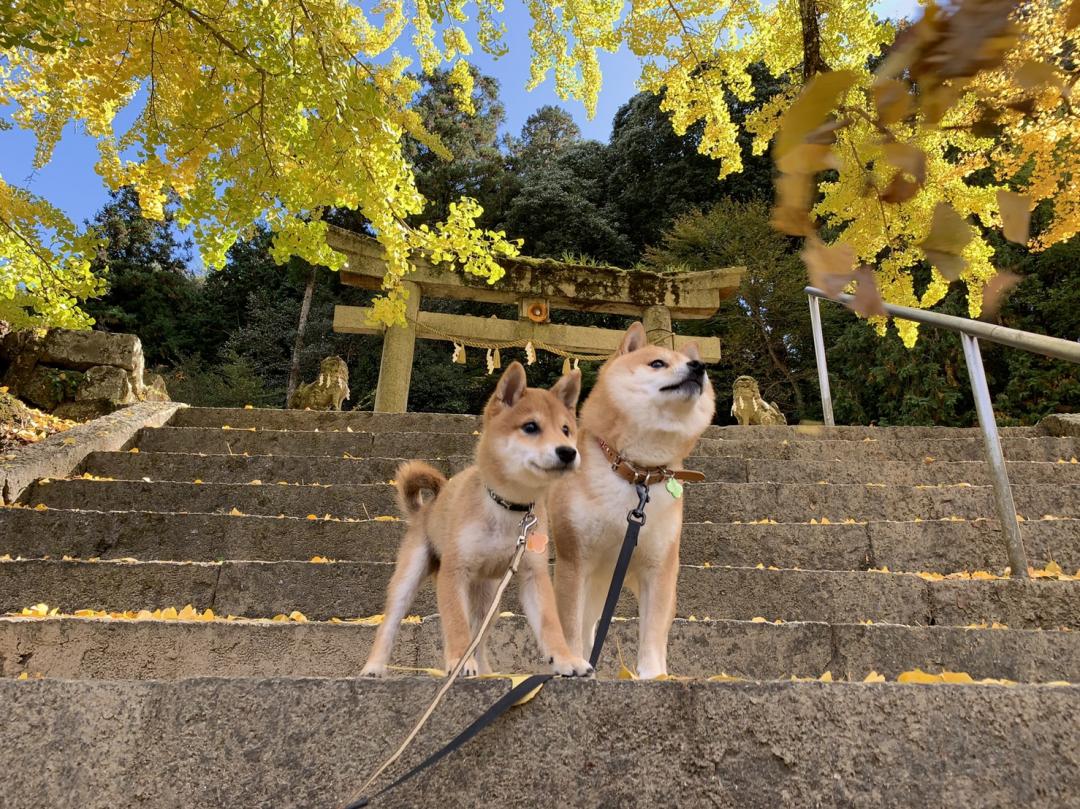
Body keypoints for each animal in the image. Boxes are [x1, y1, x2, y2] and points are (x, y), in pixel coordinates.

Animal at [360, 362, 596, 678]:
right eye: (530, 427)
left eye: (566, 430)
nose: (568, 452)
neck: (509, 508)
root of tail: (425, 509)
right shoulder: (453, 572)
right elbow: (456, 626)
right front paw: (458, 662)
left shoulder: (534, 575)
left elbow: (550, 624)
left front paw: (566, 659)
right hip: (410, 576)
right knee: (390, 624)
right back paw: (374, 666)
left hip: (490, 602)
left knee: (480, 638)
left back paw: (485, 670)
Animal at [548, 319, 717, 678]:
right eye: (658, 363)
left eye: (695, 364)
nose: (699, 367)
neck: (637, 473)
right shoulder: (574, 562)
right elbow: (569, 627)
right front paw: (572, 663)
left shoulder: (659, 568)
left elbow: (652, 631)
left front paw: (654, 675)